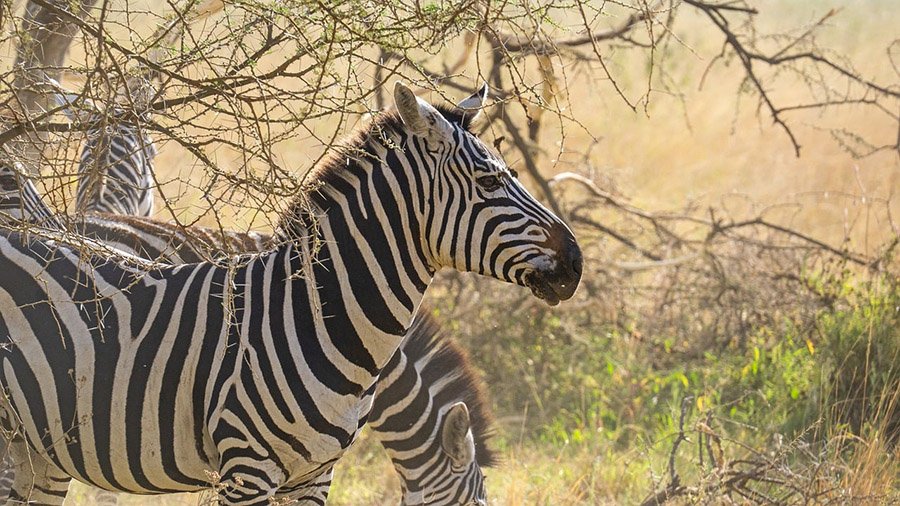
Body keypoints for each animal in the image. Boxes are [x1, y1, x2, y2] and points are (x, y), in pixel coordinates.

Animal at [0, 81, 581, 504]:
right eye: (490, 183)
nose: (575, 264)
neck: (319, 316)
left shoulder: (314, 474)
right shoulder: (245, 468)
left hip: (37, 448)